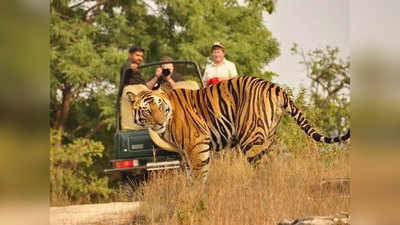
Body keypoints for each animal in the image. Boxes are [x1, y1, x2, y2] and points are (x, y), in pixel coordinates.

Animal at [127, 75, 350, 183]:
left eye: (159, 105)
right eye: (147, 110)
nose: (158, 122)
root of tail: (274, 86)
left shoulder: (196, 145)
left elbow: (199, 175)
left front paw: (198, 197)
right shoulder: (184, 153)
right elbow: (190, 176)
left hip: (251, 140)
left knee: (264, 168)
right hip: (268, 137)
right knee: (273, 165)